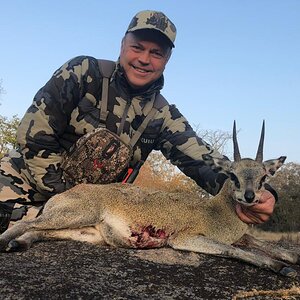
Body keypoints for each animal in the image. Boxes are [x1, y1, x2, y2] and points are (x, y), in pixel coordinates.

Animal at [0, 121, 298, 276]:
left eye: (263, 178)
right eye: (233, 176)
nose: (249, 196)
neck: (217, 212)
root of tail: (64, 194)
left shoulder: (241, 235)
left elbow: (263, 244)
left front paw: (288, 258)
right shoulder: (185, 238)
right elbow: (234, 250)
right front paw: (282, 268)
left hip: (84, 232)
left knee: (39, 232)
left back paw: (17, 244)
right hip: (76, 215)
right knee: (24, 223)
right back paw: (7, 242)